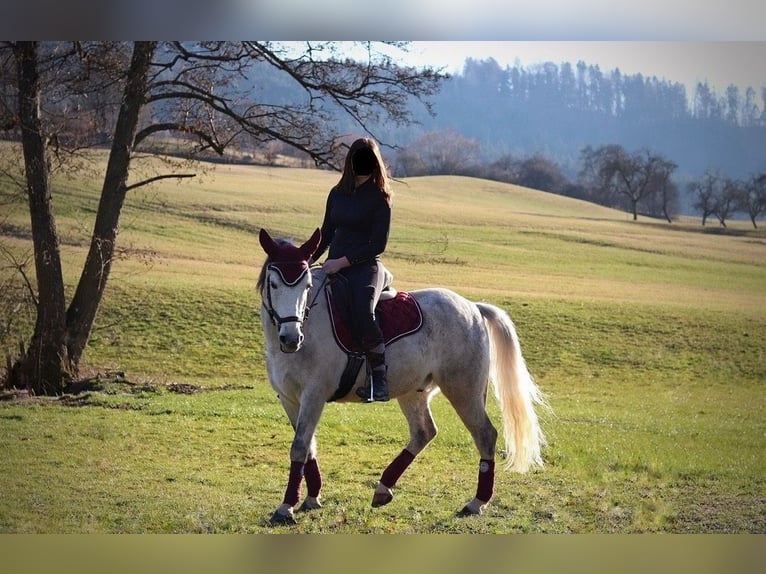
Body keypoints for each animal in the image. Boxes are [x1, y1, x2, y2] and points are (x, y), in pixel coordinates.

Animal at [260, 230, 548, 528]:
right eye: (274, 284)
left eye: (306, 286)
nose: (291, 338)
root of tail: (473, 308)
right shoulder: (290, 399)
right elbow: (308, 448)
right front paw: (311, 497)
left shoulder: (314, 395)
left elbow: (299, 447)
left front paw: (286, 507)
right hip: (413, 391)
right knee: (424, 432)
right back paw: (383, 488)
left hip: (463, 391)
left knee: (484, 434)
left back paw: (476, 502)